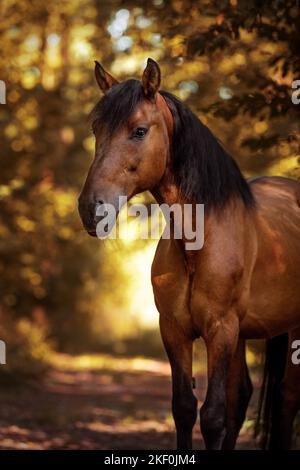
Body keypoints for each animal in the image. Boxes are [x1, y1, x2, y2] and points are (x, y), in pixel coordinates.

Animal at [78, 58, 300, 452]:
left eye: (139, 131)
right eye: (96, 129)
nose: (91, 209)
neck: (200, 242)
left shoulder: (220, 330)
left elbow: (211, 417)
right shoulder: (175, 330)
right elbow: (184, 408)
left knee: (286, 397)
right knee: (242, 397)